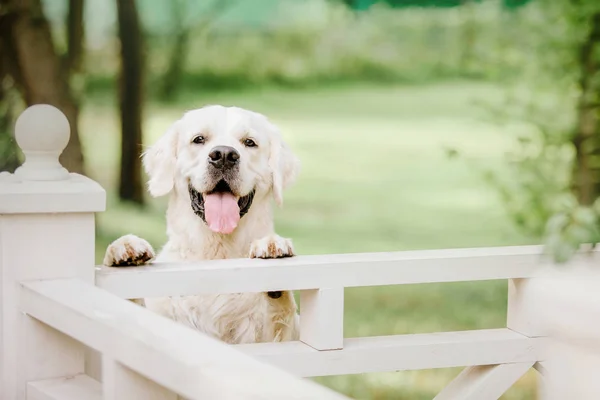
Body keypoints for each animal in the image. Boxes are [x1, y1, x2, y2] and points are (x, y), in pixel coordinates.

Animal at [104, 105, 300, 344]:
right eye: (199, 139)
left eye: (249, 142)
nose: (224, 155)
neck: (215, 258)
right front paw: (124, 247)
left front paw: (271, 244)